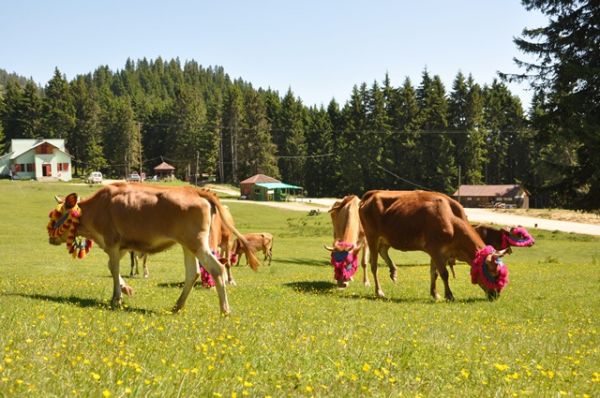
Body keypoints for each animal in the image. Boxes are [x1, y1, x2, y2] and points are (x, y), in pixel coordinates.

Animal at [47, 183, 260, 314]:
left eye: (57, 215)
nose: (50, 238)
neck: (98, 207)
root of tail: (193, 190)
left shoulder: (112, 242)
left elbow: (114, 269)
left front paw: (116, 299)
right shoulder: (122, 246)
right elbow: (112, 267)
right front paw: (126, 289)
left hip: (198, 243)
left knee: (217, 268)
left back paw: (224, 310)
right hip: (188, 245)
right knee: (193, 272)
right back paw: (177, 306)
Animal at [358, 191, 508, 300]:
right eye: (494, 273)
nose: (496, 295)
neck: (452, 220)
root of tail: (372, 193)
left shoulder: (438, 252)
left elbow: (434, 273)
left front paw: (435, 293)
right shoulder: (436, 249)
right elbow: (444, 273)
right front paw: (449, 295)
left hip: (386, 238)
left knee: (383, 251)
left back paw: (393, 271)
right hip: (372, 236)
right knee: (374, 265)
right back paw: (379, 291)